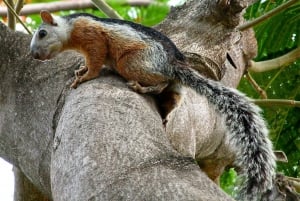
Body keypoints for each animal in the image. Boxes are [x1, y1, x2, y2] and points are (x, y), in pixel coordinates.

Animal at [30, 10, 276, 200]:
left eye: (42, 33)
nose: (33, 55)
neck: (70, 28)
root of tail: (174, 65)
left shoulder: (92, 37)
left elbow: (96, 60)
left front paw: (84, 76)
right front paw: (81, 69)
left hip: (131, 62)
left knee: (160, 83)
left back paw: (143, 88)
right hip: (171, 86)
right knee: (171, 98)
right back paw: (165, 114)